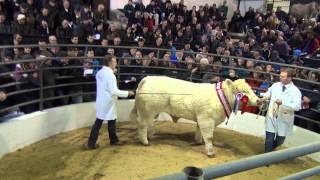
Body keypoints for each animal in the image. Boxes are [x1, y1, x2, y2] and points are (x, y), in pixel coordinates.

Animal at [130, 76, 260, 157]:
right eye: (243, 91)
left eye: (250, 89)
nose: (259, 100)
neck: (220, 97)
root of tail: (147, 78)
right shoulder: (207, 119)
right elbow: (209, 137)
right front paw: (210, 152)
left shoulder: (202, 118)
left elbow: (199, 131)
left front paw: (198, 141)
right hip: (146, 111)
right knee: (142, 125)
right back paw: (145, 141)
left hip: (150, 111)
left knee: (149, 123)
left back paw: (151, 135)